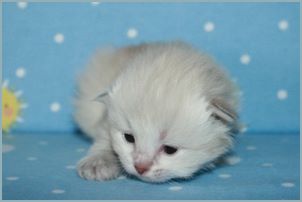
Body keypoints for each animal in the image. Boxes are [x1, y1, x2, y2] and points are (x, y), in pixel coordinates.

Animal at [73, 41, 241, 183]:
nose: (140, 168)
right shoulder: (105, 119)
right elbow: (104, 139)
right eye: (129, 138)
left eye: (170, 150)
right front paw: (98, 162)